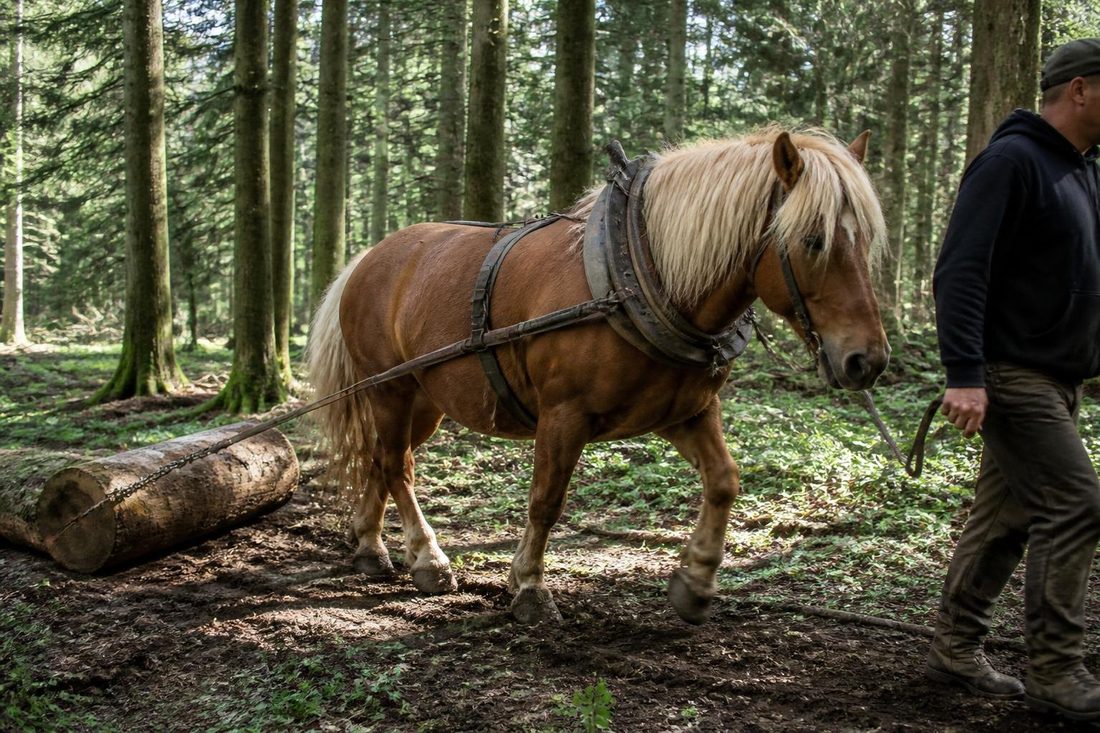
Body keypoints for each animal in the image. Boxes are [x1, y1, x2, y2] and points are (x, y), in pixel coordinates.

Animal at [307, 128, 890, 625]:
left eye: (866, 242)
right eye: (813, 239)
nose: (868, 360)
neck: (641, 272)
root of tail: (369, 257)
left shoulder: (685, 412)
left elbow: (724, 481)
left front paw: (696, 581)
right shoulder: (564, 414)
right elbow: (546, 500)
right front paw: (530, 587)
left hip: (426, 401)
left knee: (382, 460)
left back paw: (370, 546)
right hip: (388, 387)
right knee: (394, 465)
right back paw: (428, 558)